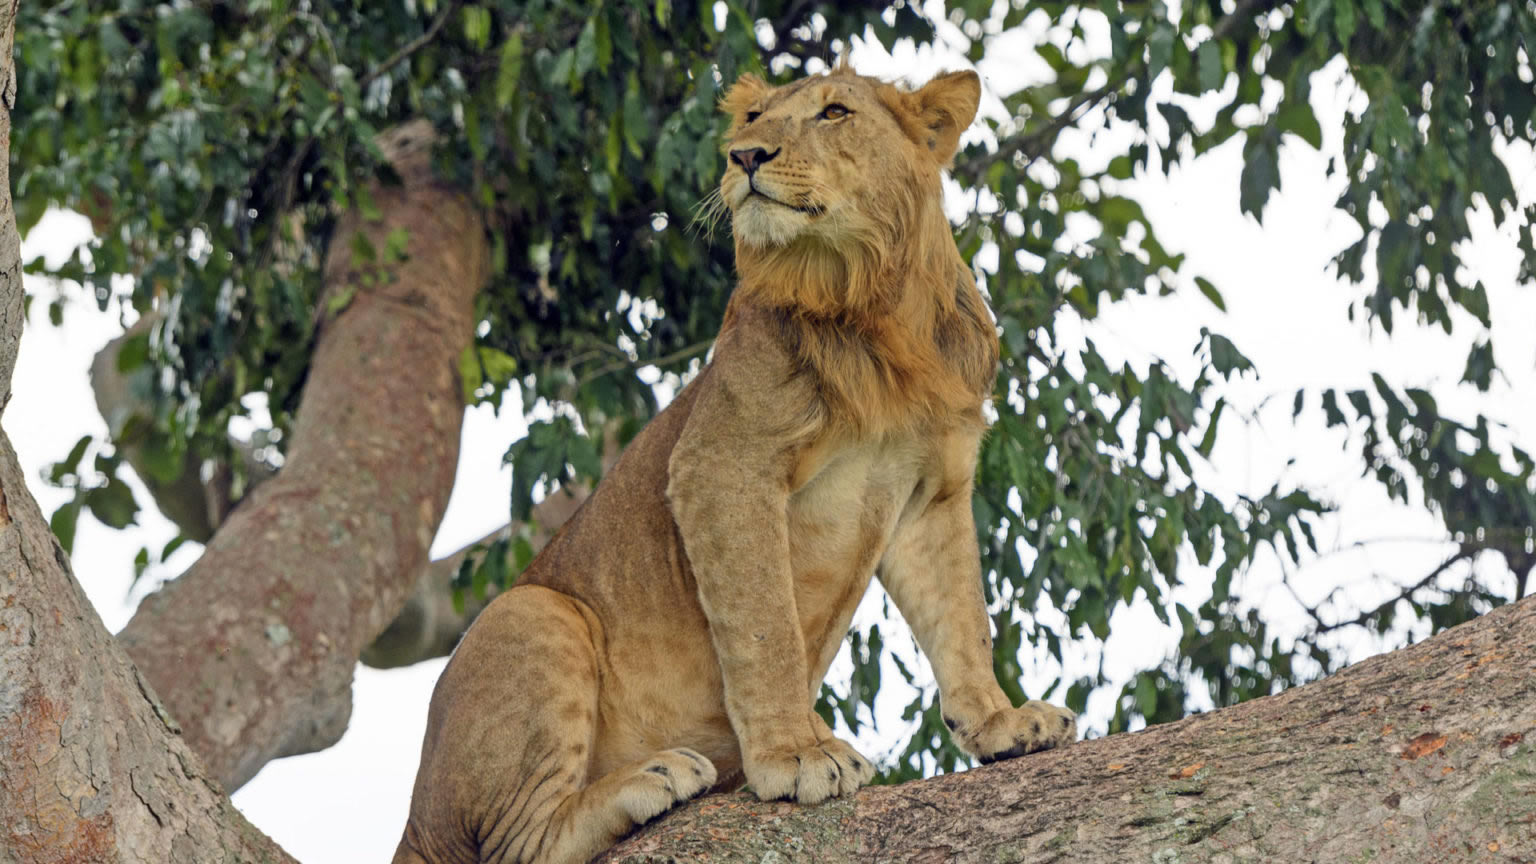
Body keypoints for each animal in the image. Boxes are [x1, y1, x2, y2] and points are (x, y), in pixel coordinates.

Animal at [390, 65, 1075, 860]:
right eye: (751, 118)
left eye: (834, 112)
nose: (744, 156)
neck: (871, 302)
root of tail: (414, 819)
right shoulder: (722, 466)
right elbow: (763, 626)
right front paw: (797, 754)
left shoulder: (934, 491)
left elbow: (964, 618)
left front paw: (1003, 724)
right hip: (531, 611)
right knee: (519, 843)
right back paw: (652, 776)